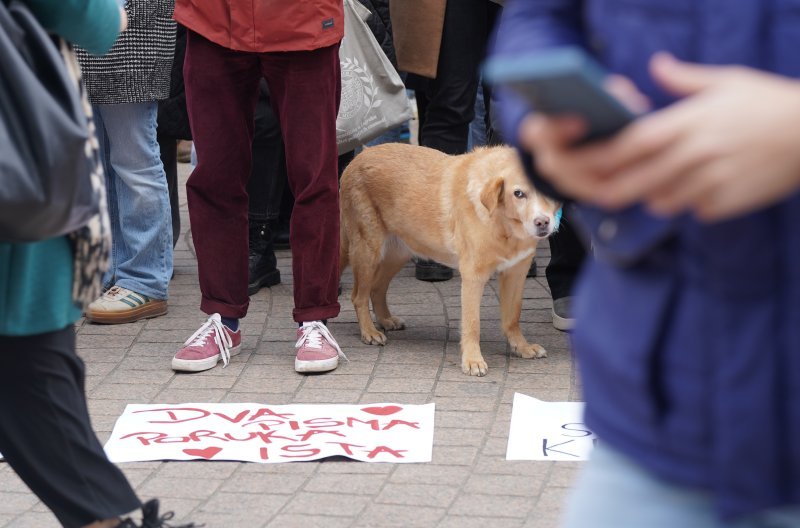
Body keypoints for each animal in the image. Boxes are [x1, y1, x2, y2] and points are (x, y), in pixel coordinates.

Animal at [336, 144, 556, 376]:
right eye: (518, 194)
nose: (543, 222)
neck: (505, 226)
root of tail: (360, 155)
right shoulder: (473, 276)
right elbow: (472, 323)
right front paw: (473, 360)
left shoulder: (516, 273)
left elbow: (512, 317)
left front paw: (521, 347)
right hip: (368, 250)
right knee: (358, 296)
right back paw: (369, 331)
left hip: (398, 253)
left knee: (377, 288)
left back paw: (386, 320)